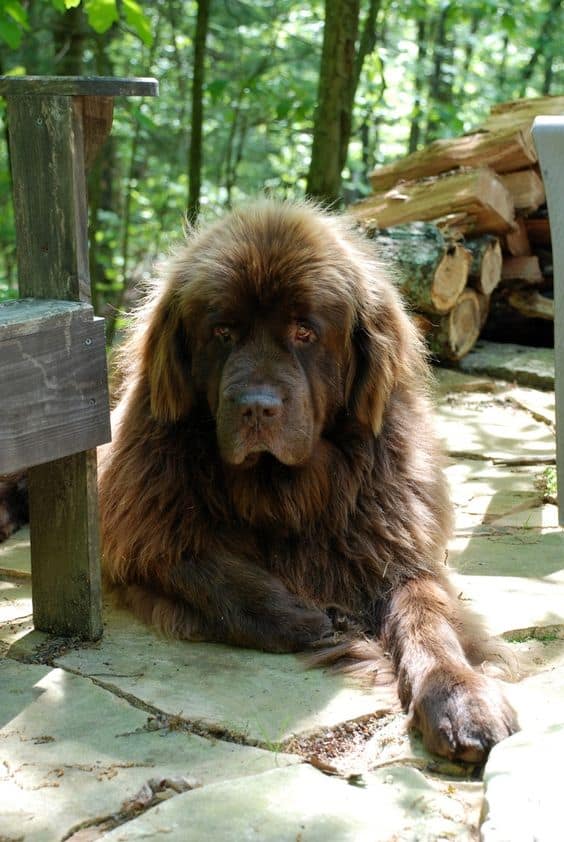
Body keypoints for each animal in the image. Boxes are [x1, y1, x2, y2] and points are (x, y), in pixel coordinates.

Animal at [99, 200, 516, 756]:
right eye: (222, 333)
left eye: (304, 333)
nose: (256, 407)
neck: (282, 491)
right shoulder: (141, 533)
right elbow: (207, 570)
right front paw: (309, 619)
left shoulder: (394, 546)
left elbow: (428, 616)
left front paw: (459, 698)